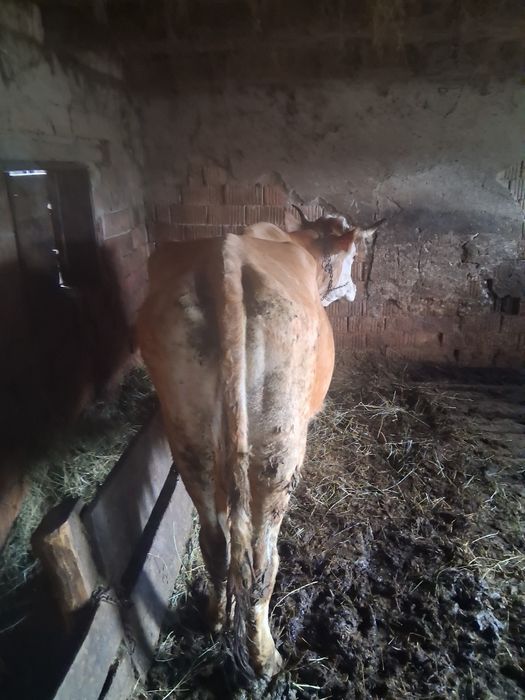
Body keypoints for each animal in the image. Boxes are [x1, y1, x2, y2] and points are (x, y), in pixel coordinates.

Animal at [137, 208, 383, 680]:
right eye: (353, 256)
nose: (353, 289)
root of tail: (225, 260)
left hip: (189, 436)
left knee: (217, 542)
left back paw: (215, 619)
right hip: (278, 448)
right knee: (263, 561)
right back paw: (265, 657)